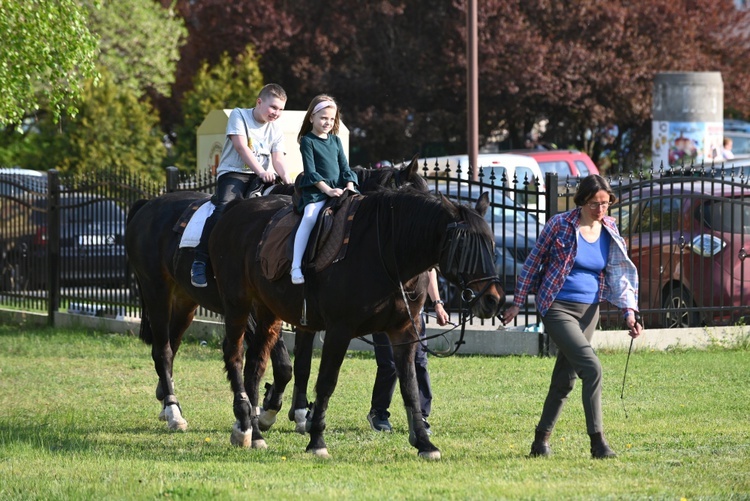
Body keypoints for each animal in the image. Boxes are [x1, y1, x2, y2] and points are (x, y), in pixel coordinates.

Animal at [124, 159, 428, 430]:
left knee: (171, 345)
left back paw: (165, 399)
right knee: (163, 350)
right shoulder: (258, 313)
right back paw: (173, 411)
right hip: (156, 292)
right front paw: (267, 408)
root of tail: (147, 206)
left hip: (184, 301)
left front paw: (299, 412)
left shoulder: (305, 315)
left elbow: (302, 364)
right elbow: (283, 365)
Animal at [207, 188, 506, 458]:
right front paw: (317, 441)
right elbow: (326, 383)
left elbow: (410, 387)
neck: (388, 253)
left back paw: (255, 432)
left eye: (491, 245)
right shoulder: (339, 331)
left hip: (267, 311)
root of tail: (236, 209)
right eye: (464, 247)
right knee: (234, 355)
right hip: (238, 304)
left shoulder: (403, 332)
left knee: (255, 367)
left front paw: (424, 443)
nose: (492, 300)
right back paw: (244, 422)